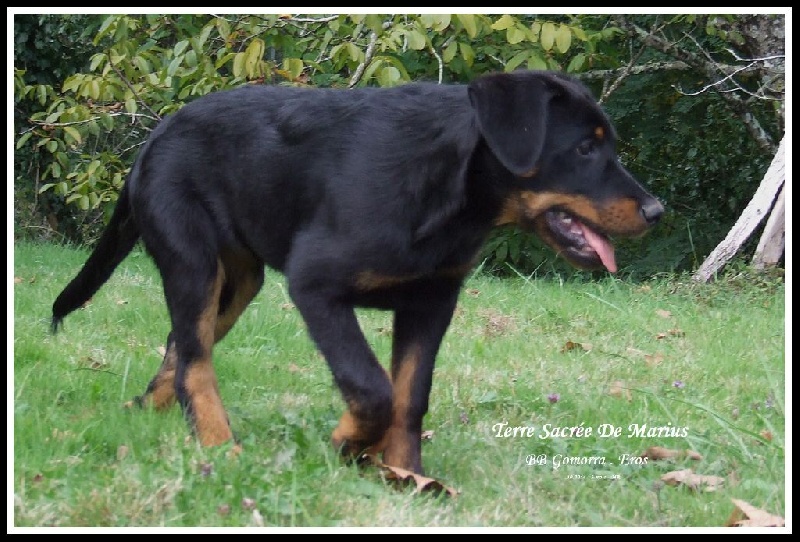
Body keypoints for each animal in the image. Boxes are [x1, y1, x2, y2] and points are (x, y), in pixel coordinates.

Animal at [51, 70, 664, 478]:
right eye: (583, 148)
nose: (657, 211)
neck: (445, 193)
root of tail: (150, 141)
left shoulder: (432, 300)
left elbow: (411, 395)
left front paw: (406, 475)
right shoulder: (315, 285)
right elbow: (372, 388)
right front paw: (349, 444)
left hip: (239, 280)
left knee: (178, 351)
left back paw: (148, 417)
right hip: (193, 261)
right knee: (195, 363)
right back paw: (221, 446)